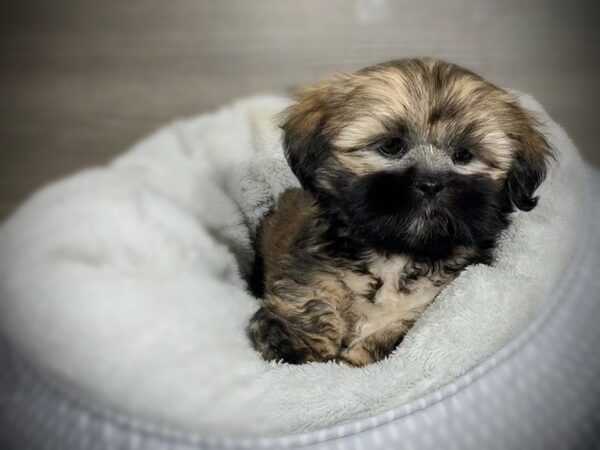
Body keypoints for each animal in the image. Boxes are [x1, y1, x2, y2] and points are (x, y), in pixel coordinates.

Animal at [246, 57, 552, 366]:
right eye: (391, 146)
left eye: (463, 155)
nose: (430, 183)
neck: (399, 252)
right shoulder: (314, 263)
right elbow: (312, 293)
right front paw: (297, 344)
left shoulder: (437, 299)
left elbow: (401, 328)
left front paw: (355, 357)